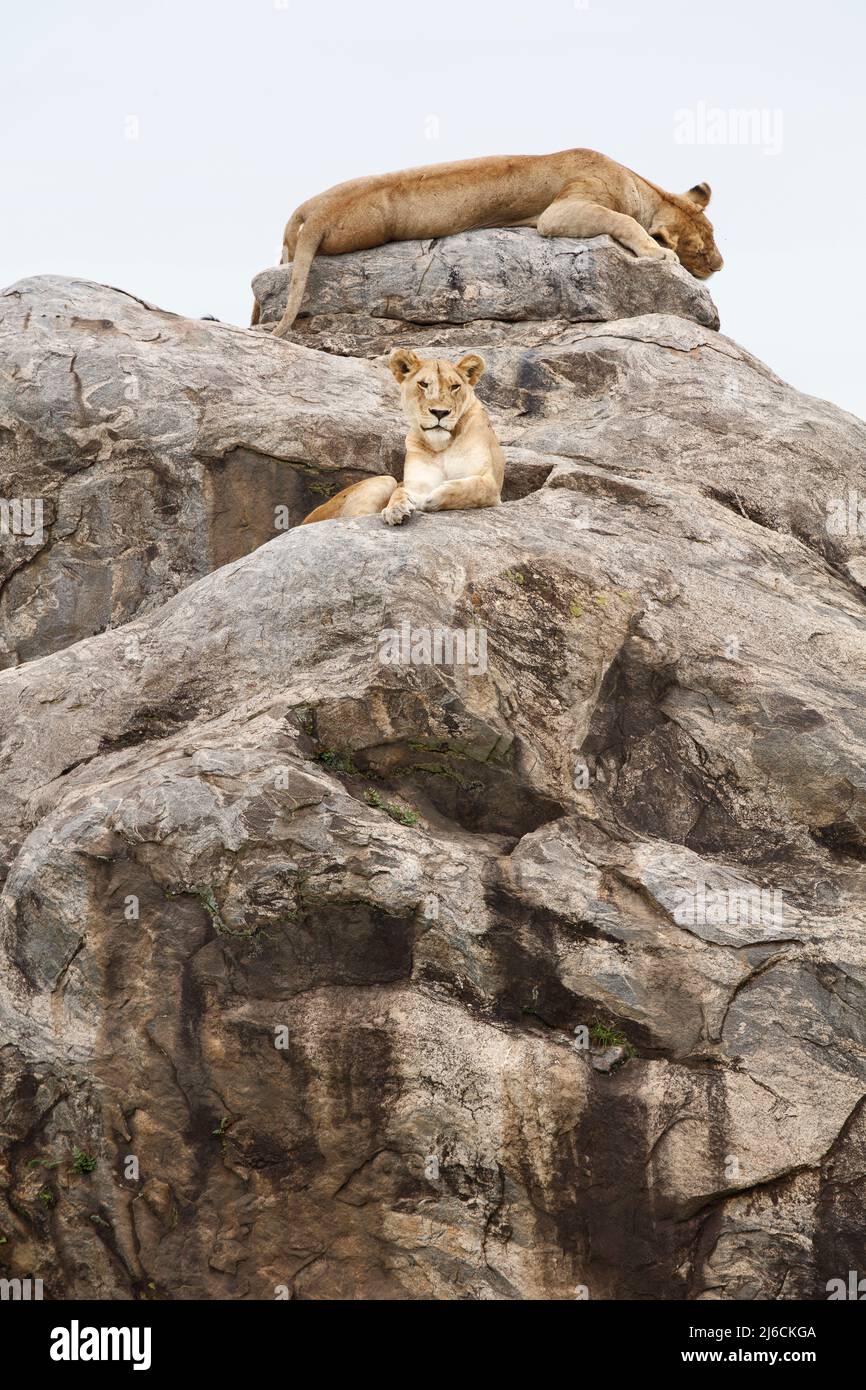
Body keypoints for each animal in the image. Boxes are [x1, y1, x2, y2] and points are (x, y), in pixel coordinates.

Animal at [257, 145, 722, 333]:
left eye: (715, 236)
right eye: (699, 250)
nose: (720, 266)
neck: (638, 184)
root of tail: (315, 217)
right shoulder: (563, 209)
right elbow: (622, 221)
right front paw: (657, 253)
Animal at [301, 350, 505, 528]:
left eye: (455, 386)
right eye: (423, 384)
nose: (440, 412)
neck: (441, 446)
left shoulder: (491, 485)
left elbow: (471, 487)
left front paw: (433, 497)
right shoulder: (416, 483)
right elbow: (400, 491)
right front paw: (396, 509)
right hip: (385, 480)